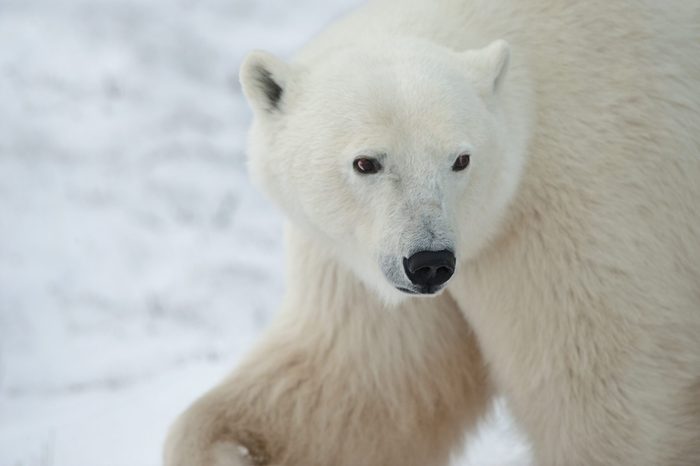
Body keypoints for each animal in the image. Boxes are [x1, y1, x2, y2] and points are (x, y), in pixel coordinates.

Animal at [164, 0, 700, 464]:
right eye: (367, 162)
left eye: (460, 159)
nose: (429, 263)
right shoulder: (358, 261)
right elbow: (358, 383)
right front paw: (227, 448)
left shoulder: (580, 216)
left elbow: (608, 398)